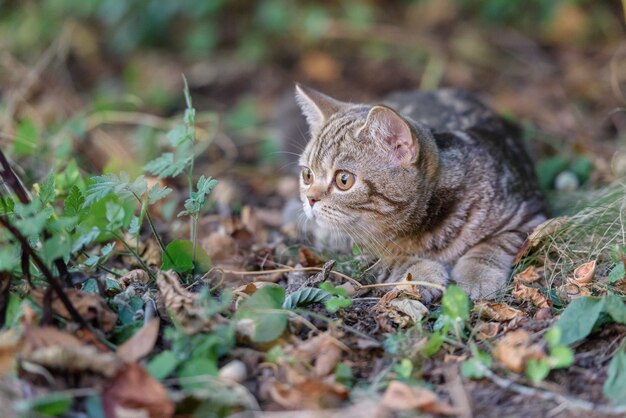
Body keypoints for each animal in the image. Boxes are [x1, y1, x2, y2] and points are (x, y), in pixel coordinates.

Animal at [294, 84, 544, 300]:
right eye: (307, 175)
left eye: (343, 180)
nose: (310, 199)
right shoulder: (339, 243)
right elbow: (385, 257)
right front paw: (420, 272)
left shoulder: (529, 217)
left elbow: (494, 244)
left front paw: (478, 275)